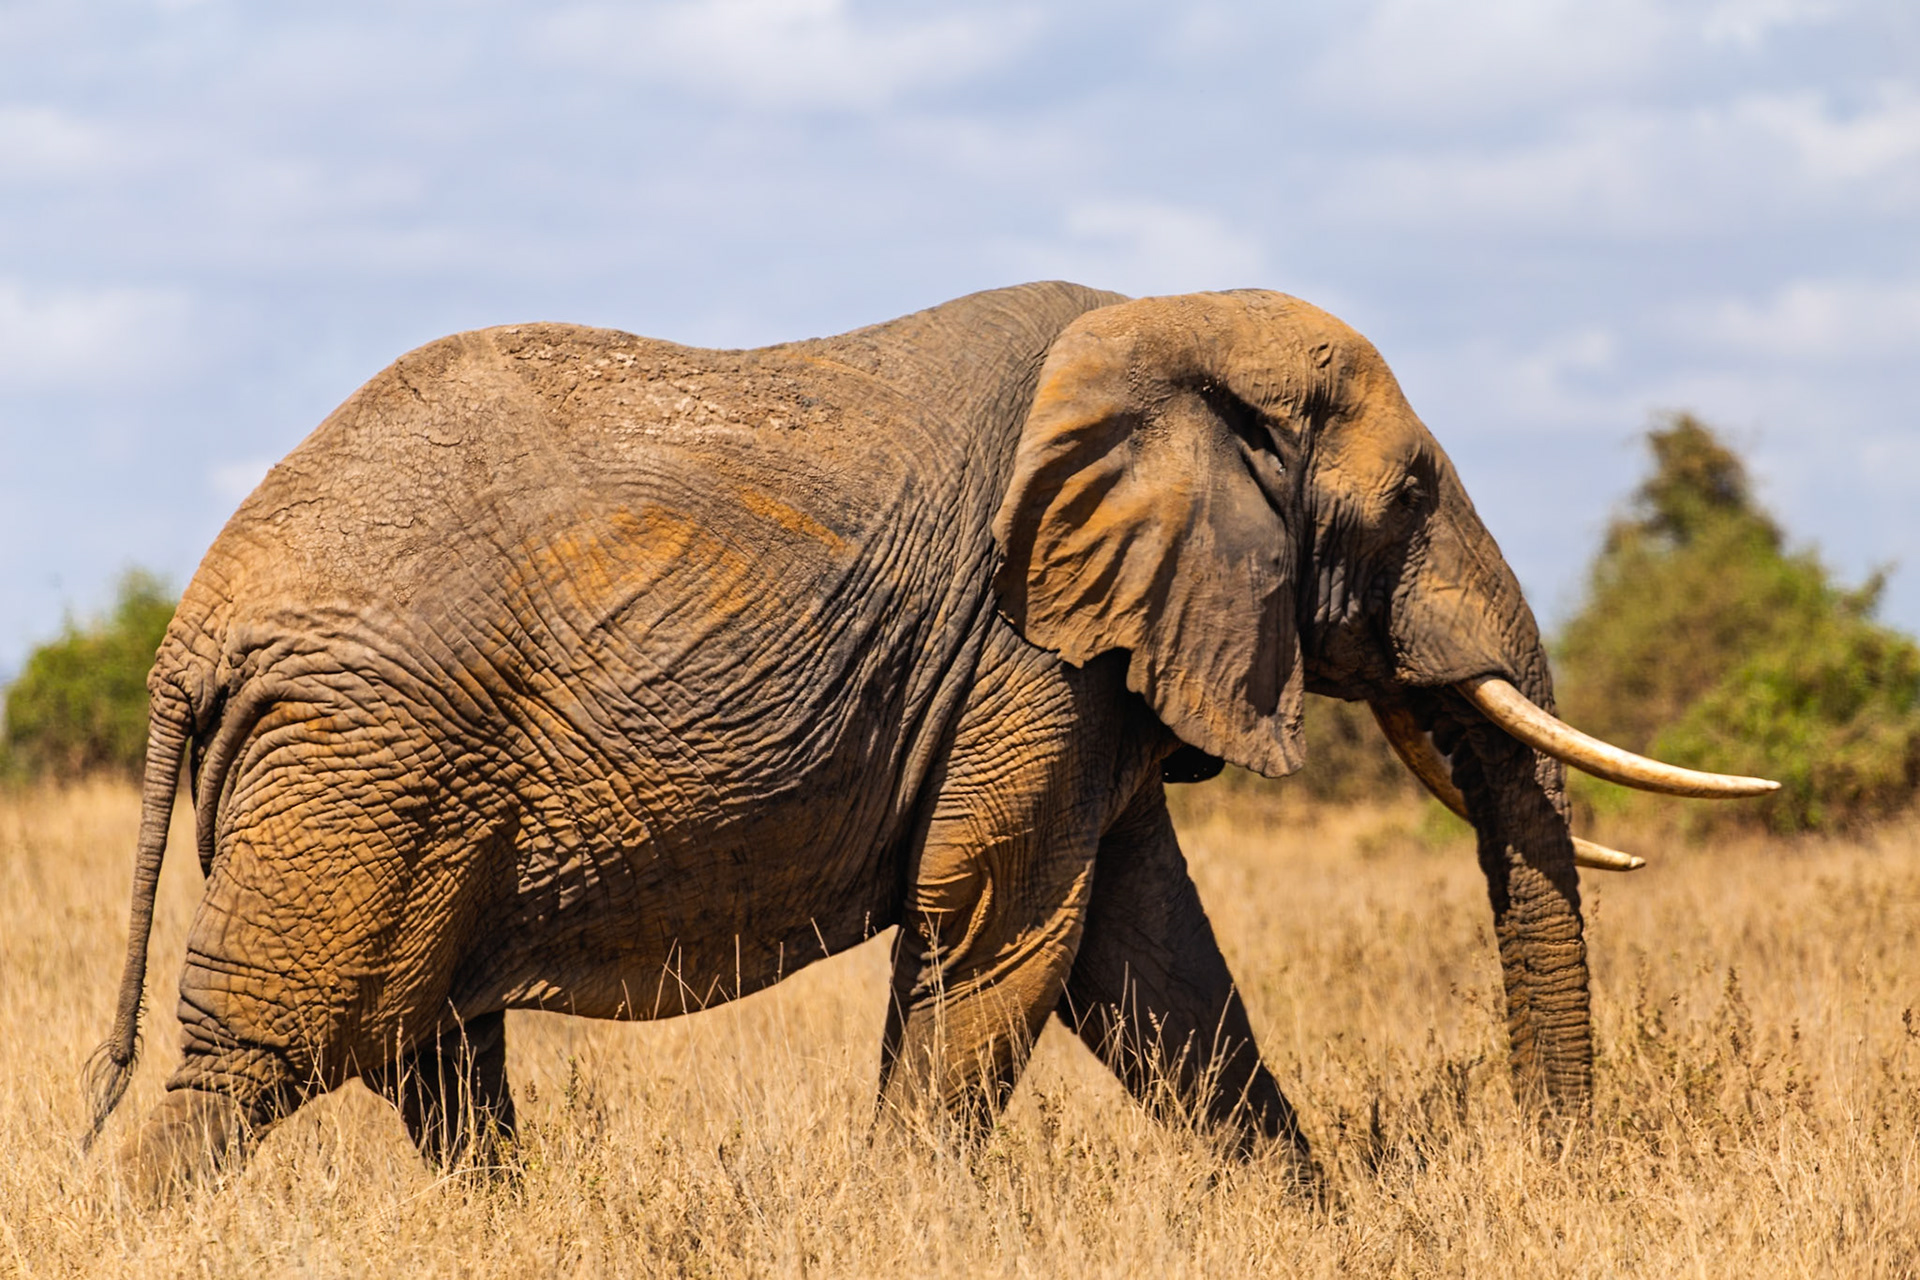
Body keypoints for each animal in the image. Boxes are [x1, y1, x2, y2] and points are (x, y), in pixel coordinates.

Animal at [87, 282, 1773, 1197]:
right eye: (1415, 493)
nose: (1545, 1160)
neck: (1160, 328)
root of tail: (194, 631)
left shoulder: (1083, 670)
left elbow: (1151, 970)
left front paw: (1326, 1228)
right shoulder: (1025, 652)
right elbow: (1003, 939)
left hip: (383, 778)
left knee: (429, 1059)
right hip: (367, 762)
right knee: (273, 1057)